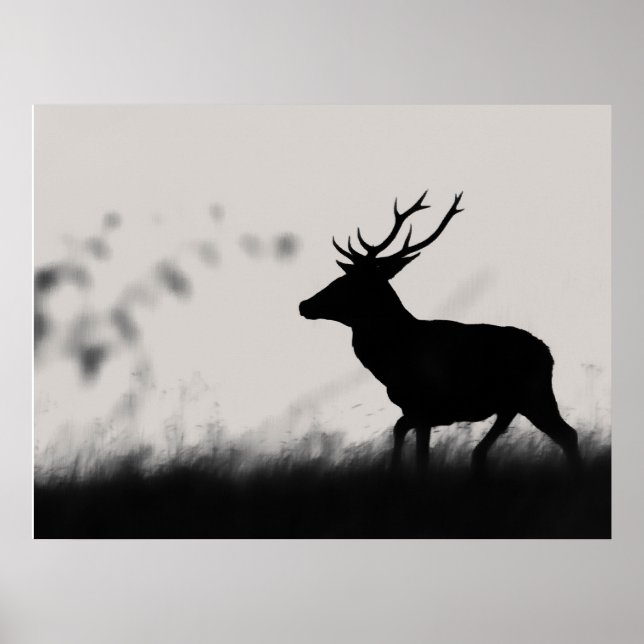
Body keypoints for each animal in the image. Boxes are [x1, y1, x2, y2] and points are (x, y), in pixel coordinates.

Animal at [299, 190, 582, 478]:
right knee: (520, 442)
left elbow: (421, 457)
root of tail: (548, 354)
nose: (304, 304)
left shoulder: (426, 406)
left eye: (347, 283)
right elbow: (399, 429)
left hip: (534, 395)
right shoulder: (414, 410)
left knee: (565, 435)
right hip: (516, 403)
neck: (390, 361)